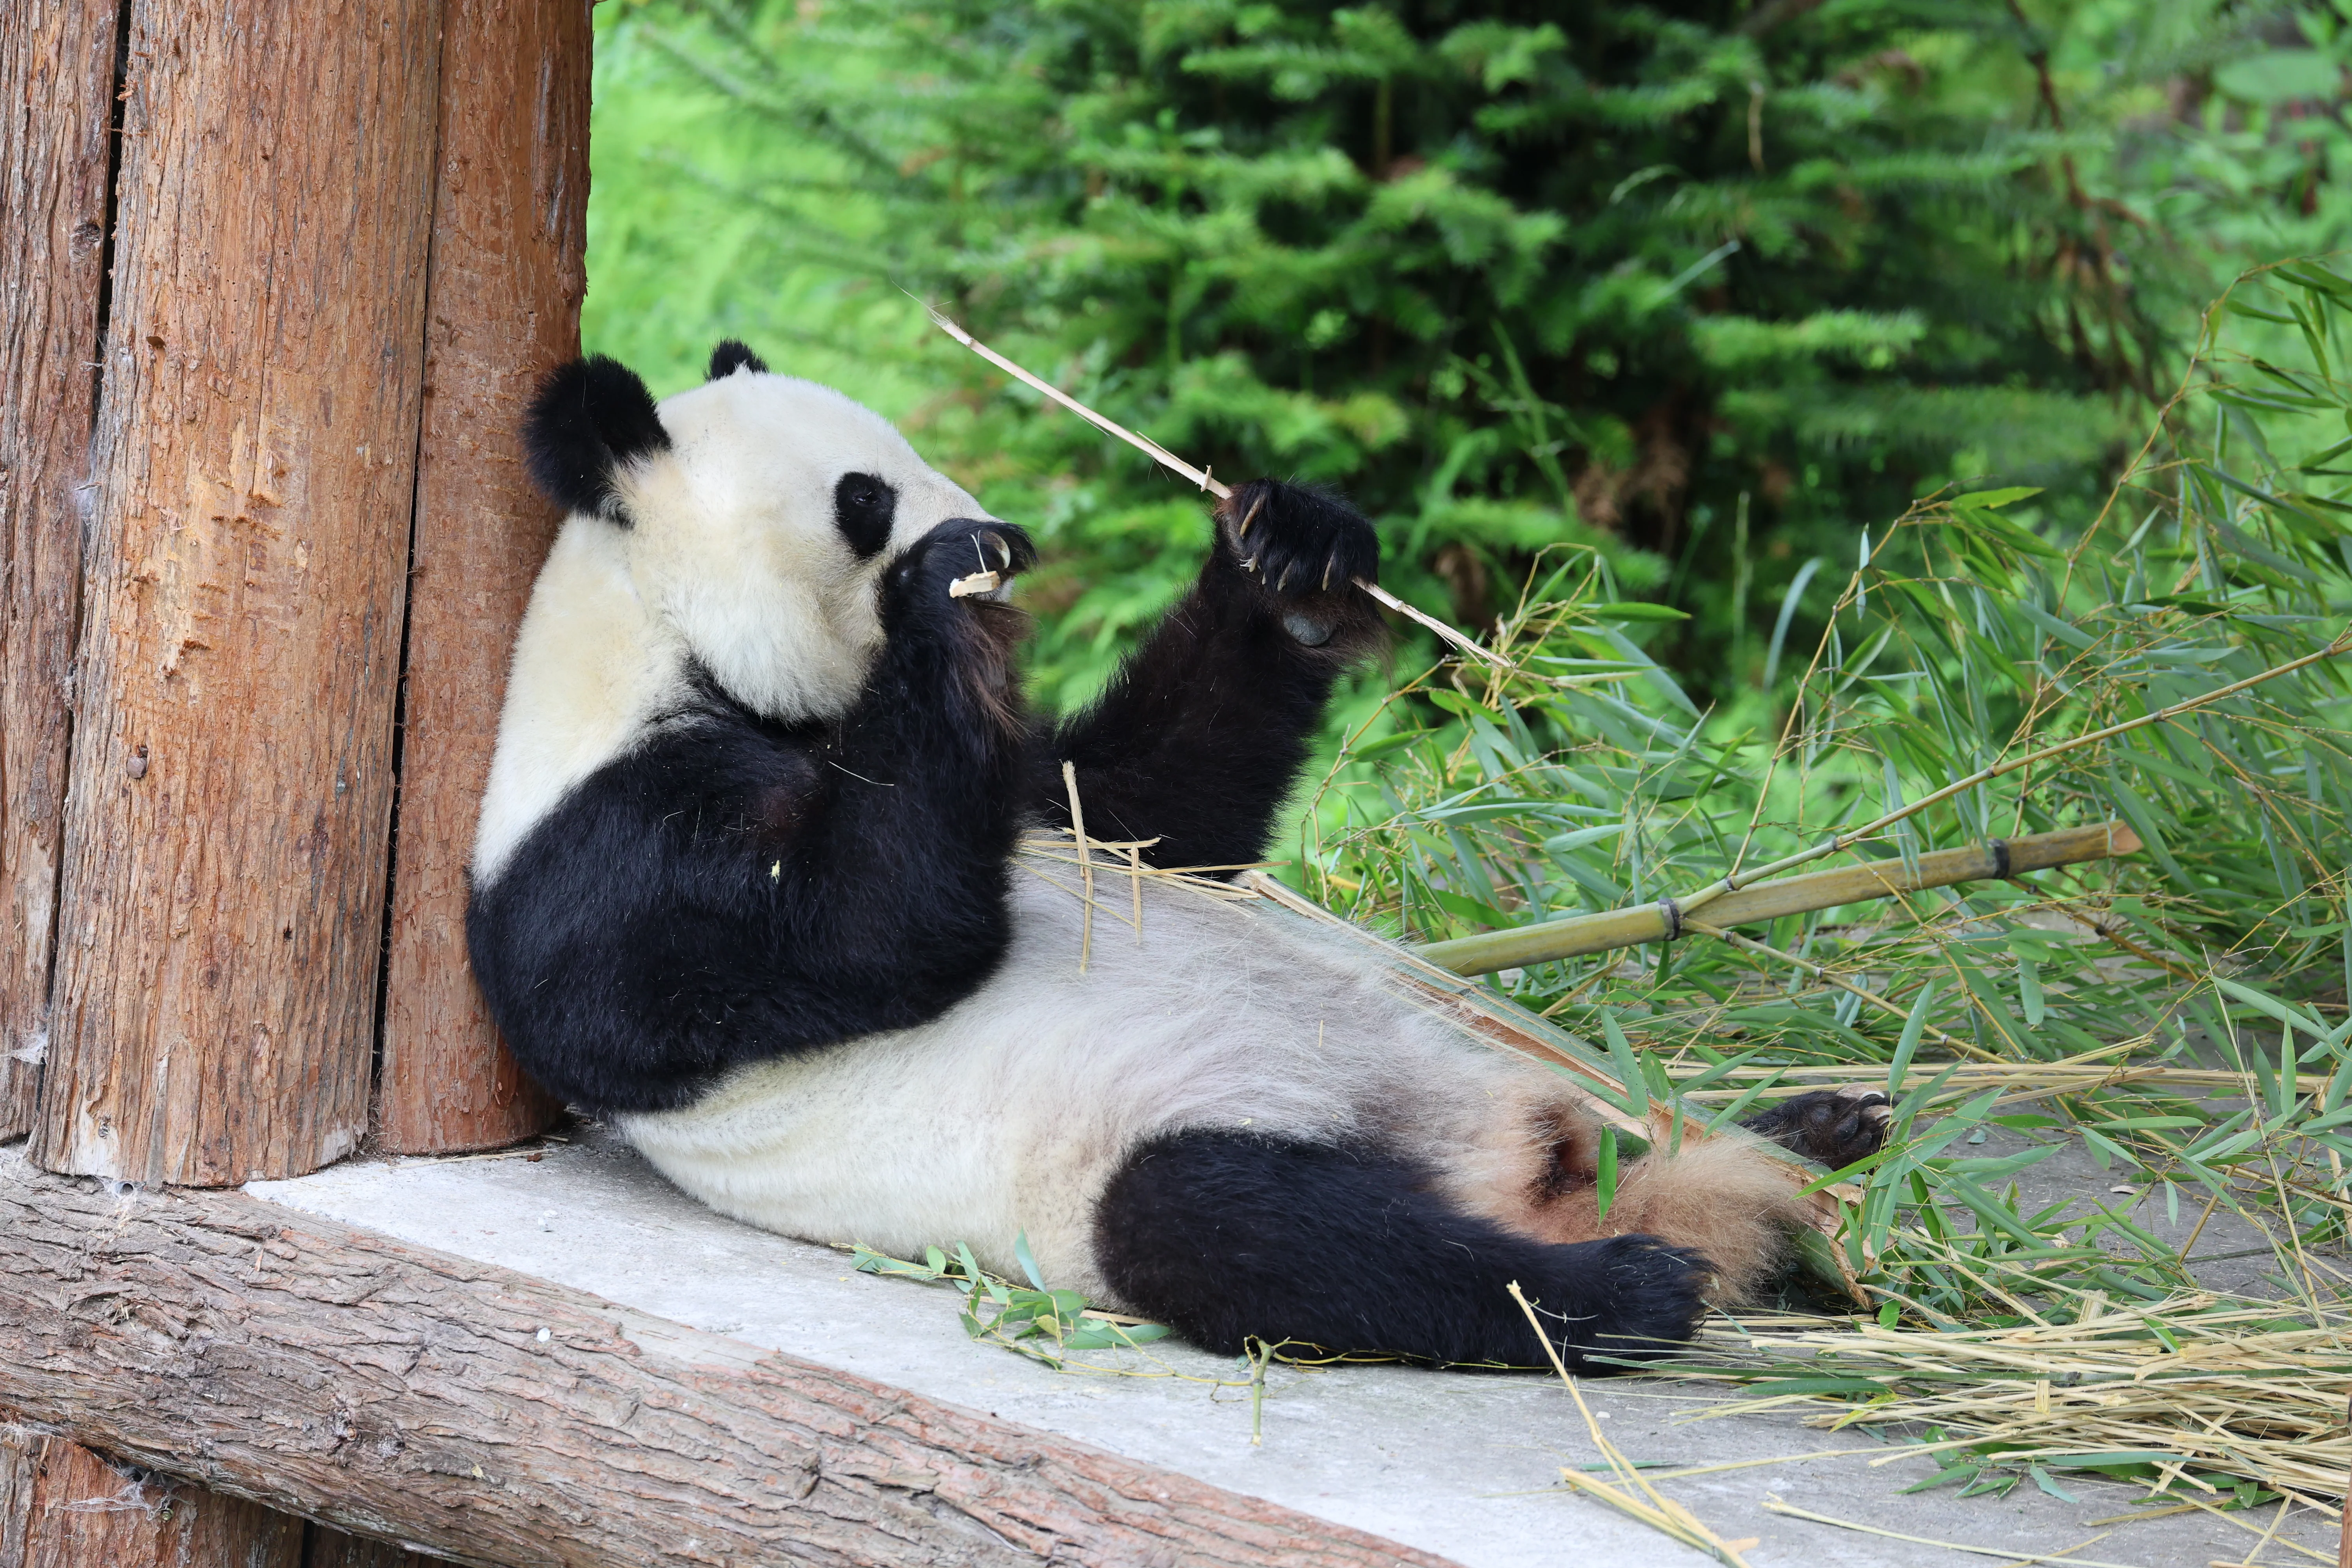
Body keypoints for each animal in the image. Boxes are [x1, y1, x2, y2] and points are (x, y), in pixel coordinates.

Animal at [466, 339, 1892, 1370]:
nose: (1005, 538)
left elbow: (1149, 816)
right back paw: (1619, 1289)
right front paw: (945, 592)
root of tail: (1526, 1173)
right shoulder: (604, 864)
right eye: (863, 500)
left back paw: (1807, 1134)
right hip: (1138, 1159)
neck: (664, 651)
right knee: (1269, 1238)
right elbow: (873, 932)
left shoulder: (1027, 790)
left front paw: (1292, 555)